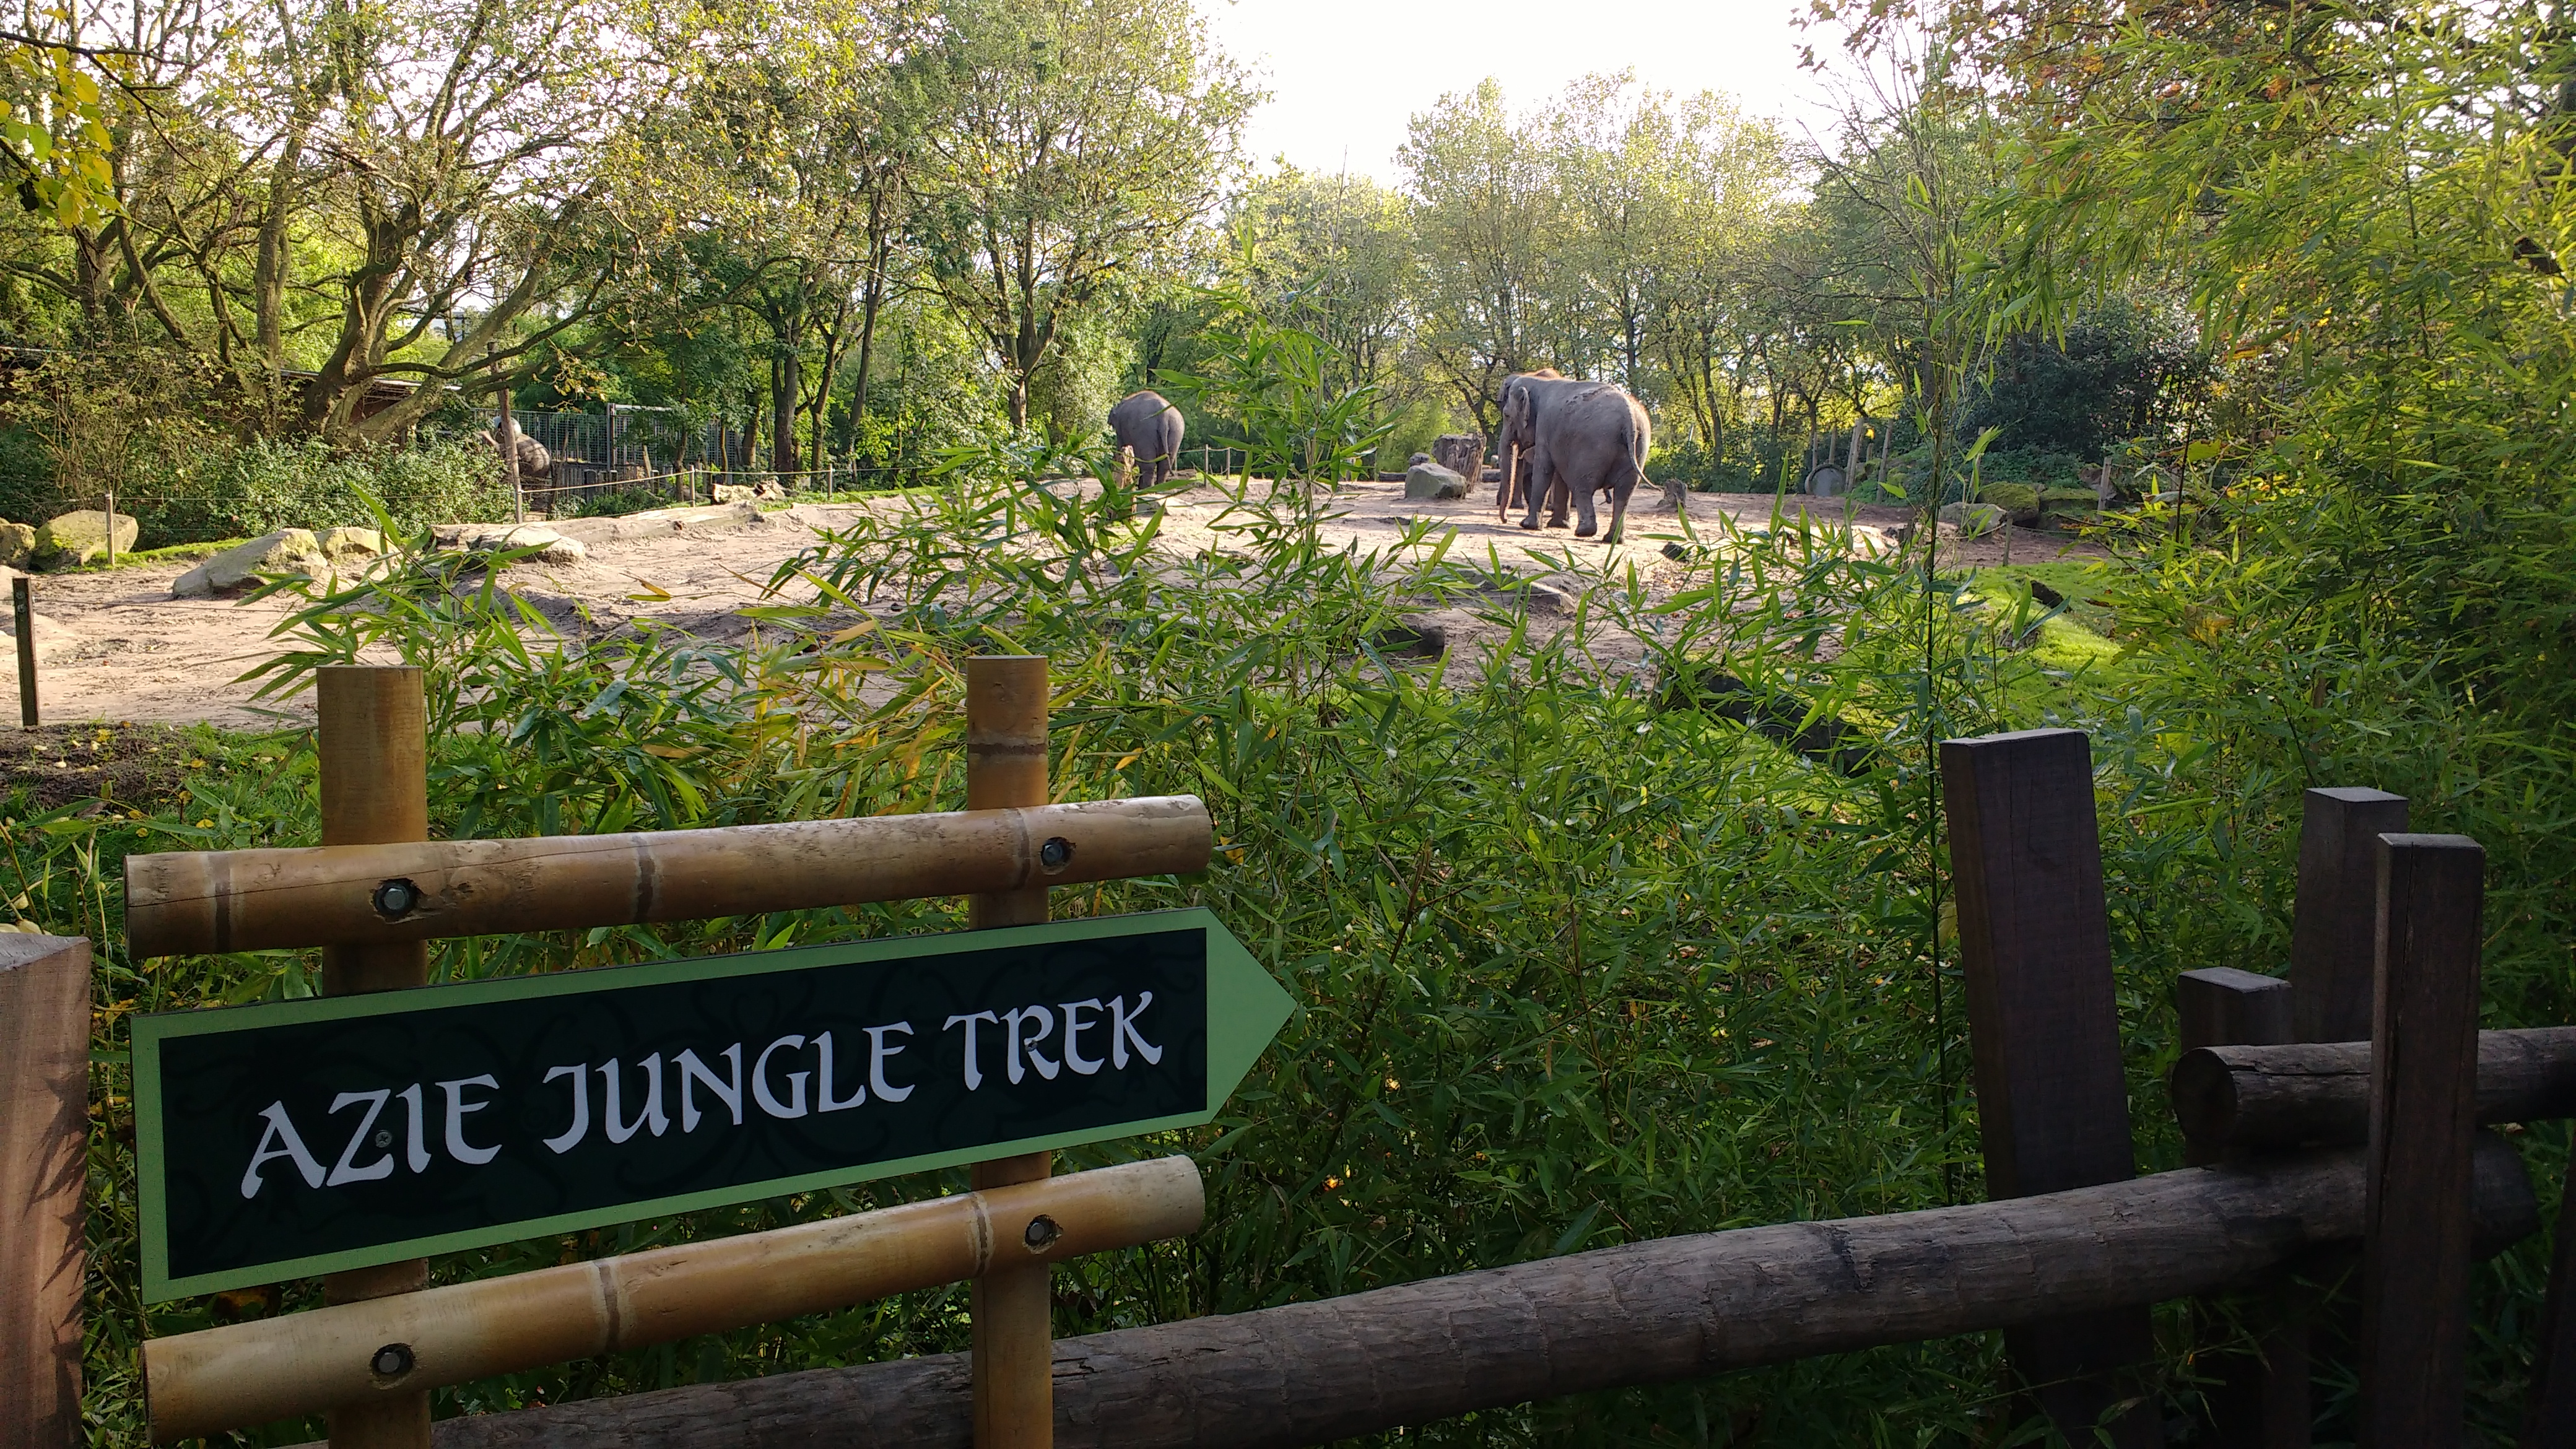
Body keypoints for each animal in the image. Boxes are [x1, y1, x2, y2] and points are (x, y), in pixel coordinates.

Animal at [1107, 386, 1185, 487]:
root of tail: (1163, 415)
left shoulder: (1120, 430)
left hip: (1145, 432)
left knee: (1148, 465)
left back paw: (1146, 489)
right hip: (1176, 432)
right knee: (1164, 467)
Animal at [1494, 368, 1648, 544]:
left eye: (1506, 415)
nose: (1505, 519)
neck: (1537, 380)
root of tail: (1629, 418)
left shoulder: (1544, 427)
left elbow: (1543, 470)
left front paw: (1527, 525)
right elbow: (1558, 475)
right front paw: (1558, 525)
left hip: (1592, 448)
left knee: (1583, 486)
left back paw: (1584, 532)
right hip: (1638, 448)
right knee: (1624, 493)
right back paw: (1611, 539)